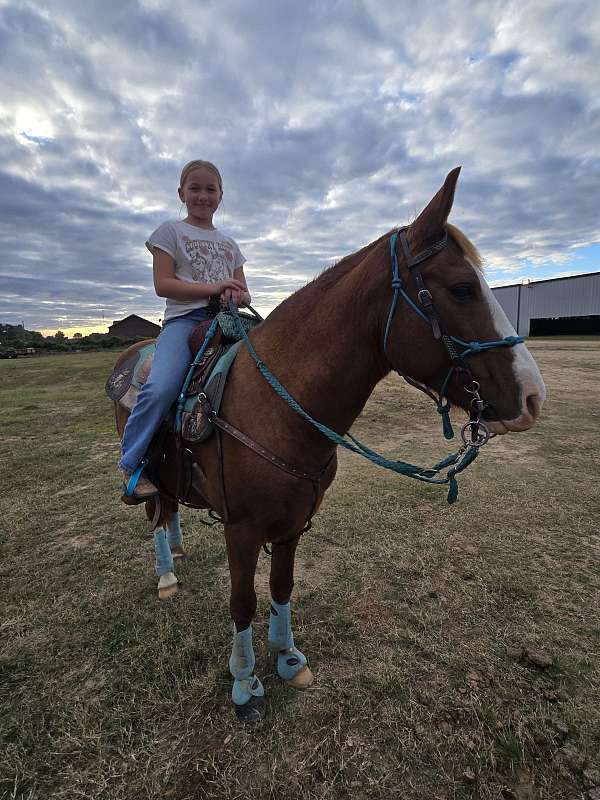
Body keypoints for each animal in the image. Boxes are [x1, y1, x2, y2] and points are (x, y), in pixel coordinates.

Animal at [111, 167, 545, 723]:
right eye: (463, 288)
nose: (533, 397)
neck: (275, 403)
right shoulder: (242, 529)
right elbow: (242, 603)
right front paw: (245, 682)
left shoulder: (294, 522)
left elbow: (281, 588)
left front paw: (288, 658)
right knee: (153, 510)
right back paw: (166, 573)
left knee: (168, 510)